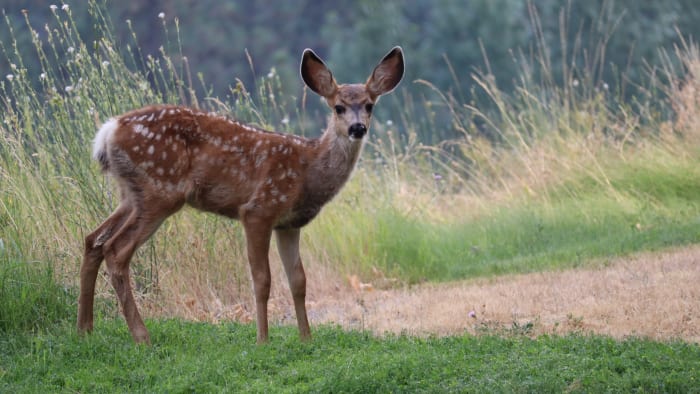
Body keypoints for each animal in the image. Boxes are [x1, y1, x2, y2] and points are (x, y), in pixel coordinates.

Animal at [78, 46, 404, 344]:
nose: (357, 128)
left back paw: (85, 328)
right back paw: (141, 335)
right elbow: (262, 279)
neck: (307, 170)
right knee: (116, 250)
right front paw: (263, 339)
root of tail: (108, 131)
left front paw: (306, 338)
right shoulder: (259, 209)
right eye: (338, 107)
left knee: (94, 240)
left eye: (369, 105)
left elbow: (298, 280)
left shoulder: (289, 224)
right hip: (160, 190)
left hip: (131, 194)